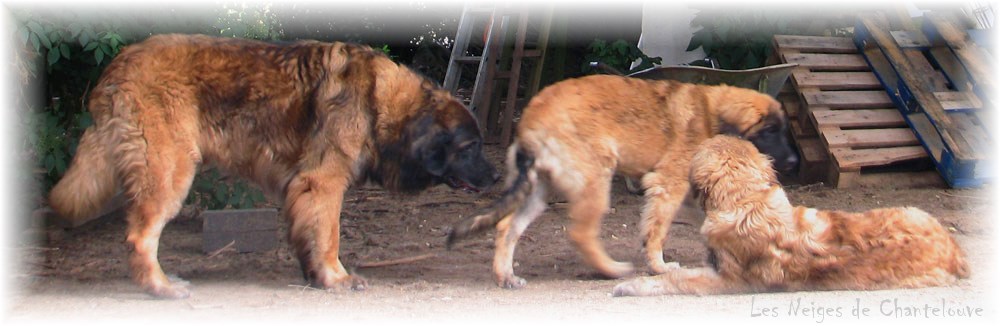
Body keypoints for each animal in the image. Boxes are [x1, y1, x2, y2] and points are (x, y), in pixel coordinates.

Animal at [47, 35, 500, 298]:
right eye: (470, 146)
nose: (497, 175)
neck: (379, 101)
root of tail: (120, 63)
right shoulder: (324, 183)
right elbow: (330, 235)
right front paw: (336, 277)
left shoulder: (301, 188)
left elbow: (306, 234)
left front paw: (314, 276)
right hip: (170, 172)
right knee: (140, 236)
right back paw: (161, 287)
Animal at [446, 76, 796, 288]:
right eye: (769, 131)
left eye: (783, 129)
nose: (794, 162)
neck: (710, 114)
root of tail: (531, 115)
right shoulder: (668, 184)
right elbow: (657, 230)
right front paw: (659, 267)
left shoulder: (687, 193)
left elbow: (713, 221)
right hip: (595, 177)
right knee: (580, 233)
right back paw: (611, 270)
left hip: (539, 189)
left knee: (507, 227)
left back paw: (505, 276)